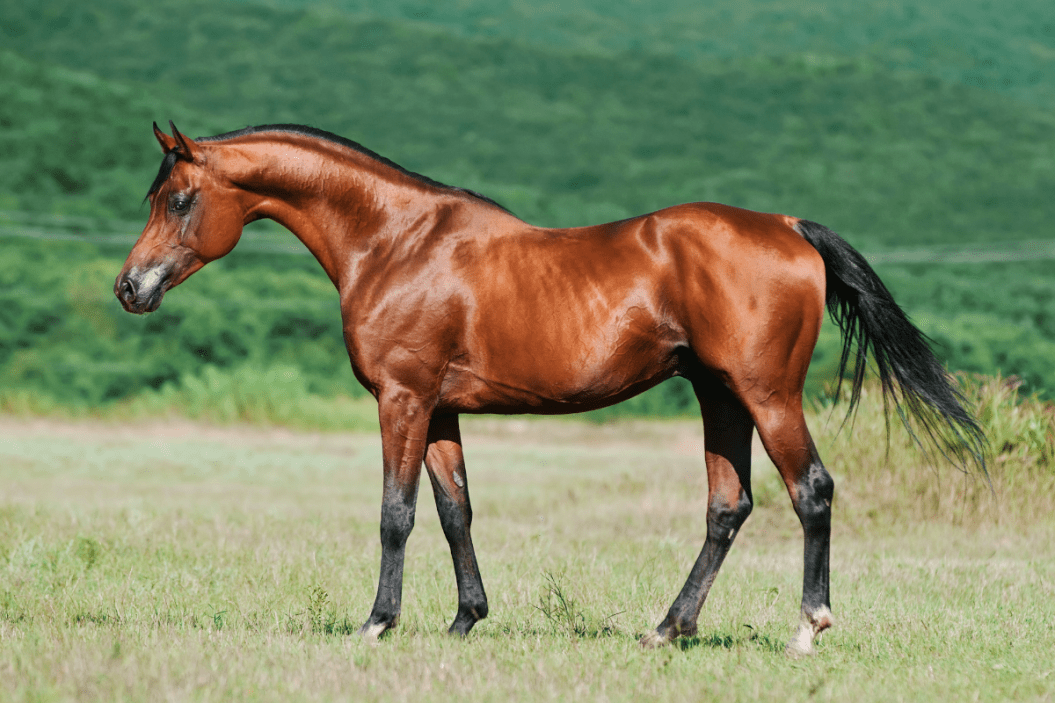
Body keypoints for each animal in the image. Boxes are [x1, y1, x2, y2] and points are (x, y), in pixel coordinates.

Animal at [115, 122, 986, 655]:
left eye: (180, 199)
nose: (130, 287)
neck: (396, 241)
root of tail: (786, 225)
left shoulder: (401, 399)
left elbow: (396, 514)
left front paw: (377, 622)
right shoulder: (440, 409)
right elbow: (455, 512)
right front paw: (464, 620)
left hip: (766, 394)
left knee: (811, 489)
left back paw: (806, 627)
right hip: (719, 398)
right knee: (727, 506)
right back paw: (667, 628)